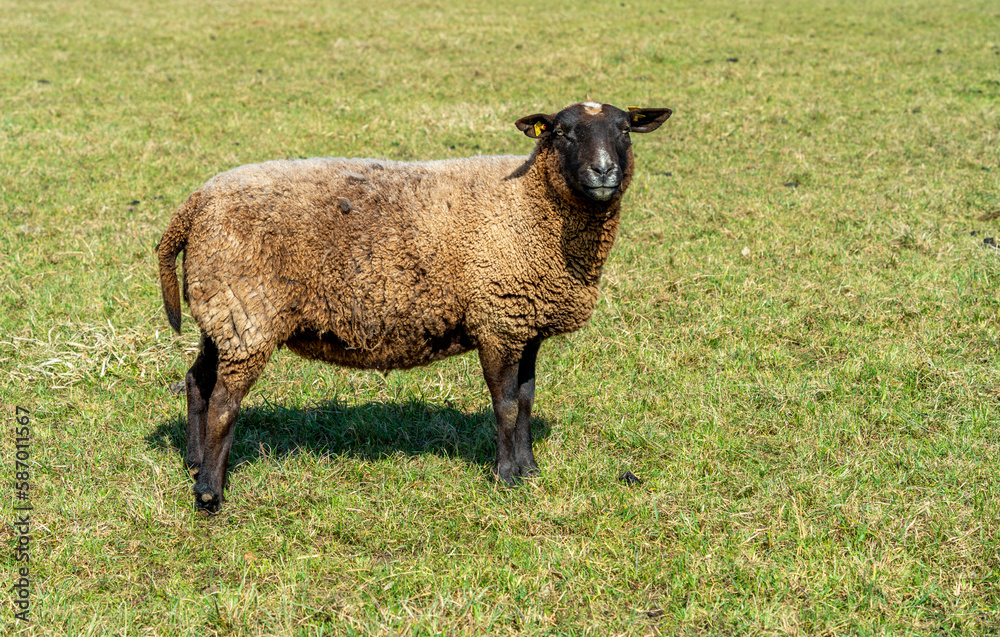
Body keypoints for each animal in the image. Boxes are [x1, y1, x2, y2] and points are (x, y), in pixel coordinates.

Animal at [158, 101, 673, 512]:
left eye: (625, 130)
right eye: (562, 132)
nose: (603, 171)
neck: (529, 205)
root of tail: (195, 204)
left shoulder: (523, 324)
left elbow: (526, 400)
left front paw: (529, 469)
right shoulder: (497, 319)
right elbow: (505, 405)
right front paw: (506, 477)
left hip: (223, 309)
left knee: (198, 381)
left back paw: (194, 462)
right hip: (248, 312)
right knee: (225, 402)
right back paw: (210, 493)